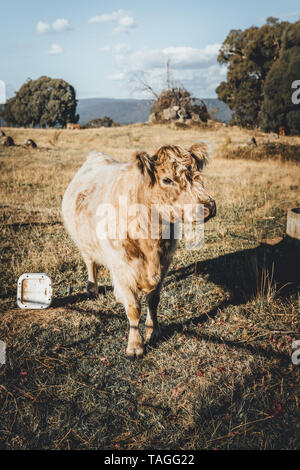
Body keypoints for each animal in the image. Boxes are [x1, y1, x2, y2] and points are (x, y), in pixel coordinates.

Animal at [61, 141, 216, 358]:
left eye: (197, 174)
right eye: (166, 180)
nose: (209, 206)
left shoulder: (164, 263)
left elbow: (154, 300)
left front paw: (154, 330)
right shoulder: (123, 266)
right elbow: (134, 308)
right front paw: (135, 345)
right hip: (84, 241)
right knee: (90, 262)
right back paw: (92, 288)